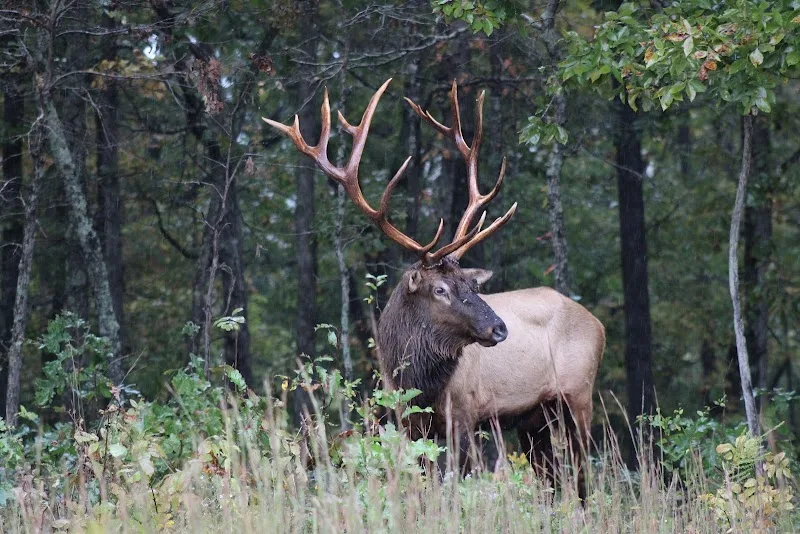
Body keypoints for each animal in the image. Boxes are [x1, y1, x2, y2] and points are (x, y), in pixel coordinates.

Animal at [264, 79, 605, 499]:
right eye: (441, 289)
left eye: (471, 284)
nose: (499, 328)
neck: (418, 382)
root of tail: (598, 324)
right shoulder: (407, 423)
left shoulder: (467, 412)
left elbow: (459, 481)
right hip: (534, 419)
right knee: (552, 476)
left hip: (579, 395)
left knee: (583, 473)